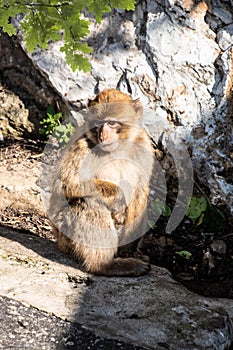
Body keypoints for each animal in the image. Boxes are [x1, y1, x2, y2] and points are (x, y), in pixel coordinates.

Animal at [48, 88, 154, 276]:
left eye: (112, 123)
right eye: (98, 123)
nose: (103, 136)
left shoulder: (144, 145)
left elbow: (141, 188)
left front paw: (128, 248)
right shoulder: (81, 144)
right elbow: (66, 183)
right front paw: (119, 197)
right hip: (65, 234)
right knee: (88, 202)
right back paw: (105, 265)